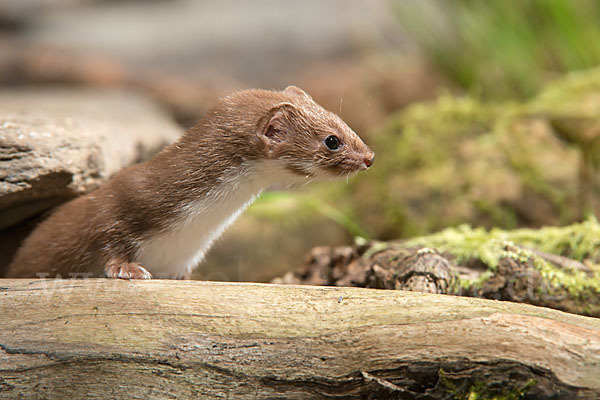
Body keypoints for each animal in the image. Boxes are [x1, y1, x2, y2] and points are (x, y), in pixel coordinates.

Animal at [7, 85, 372, 278]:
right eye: (332, 140)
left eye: (341, 120)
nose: (369, 157)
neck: (189, 231)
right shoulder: (117, 206)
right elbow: (105, 237)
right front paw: (130, 270)